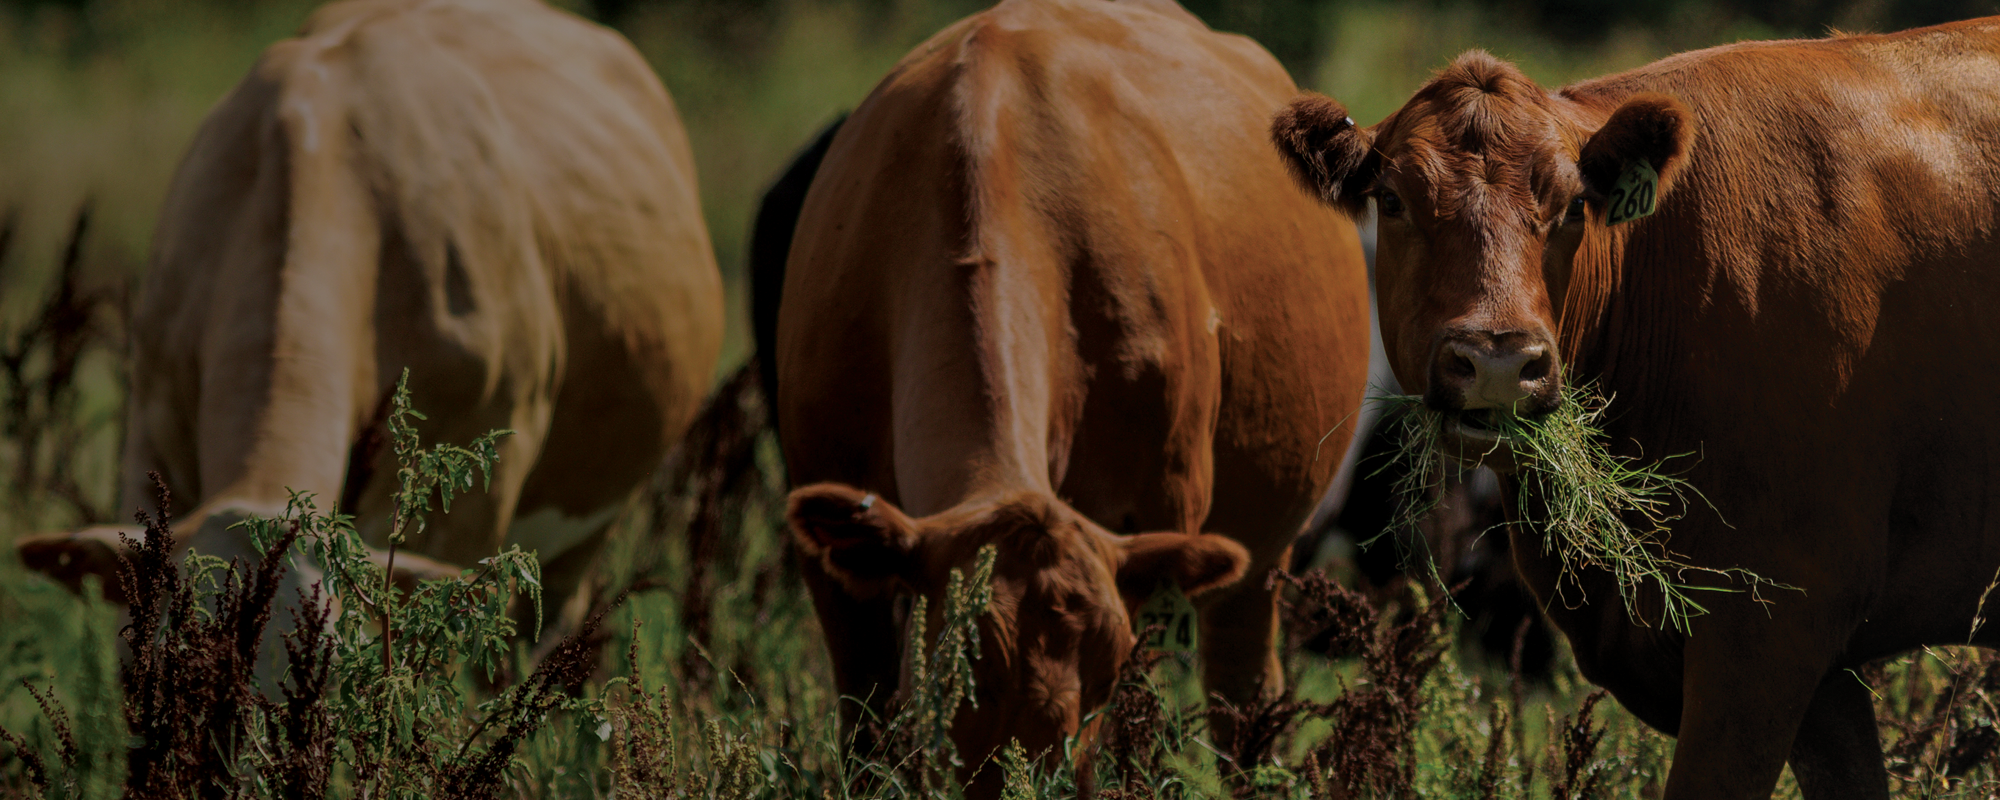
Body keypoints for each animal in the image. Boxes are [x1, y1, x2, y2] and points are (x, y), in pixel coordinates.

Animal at [756, 0, 1368, 788]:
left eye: (1102, 679)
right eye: (959, 675)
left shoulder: (1160, 520)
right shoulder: (827, 531)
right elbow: (865, 731)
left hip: (1264, 554)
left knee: (1245, 703)